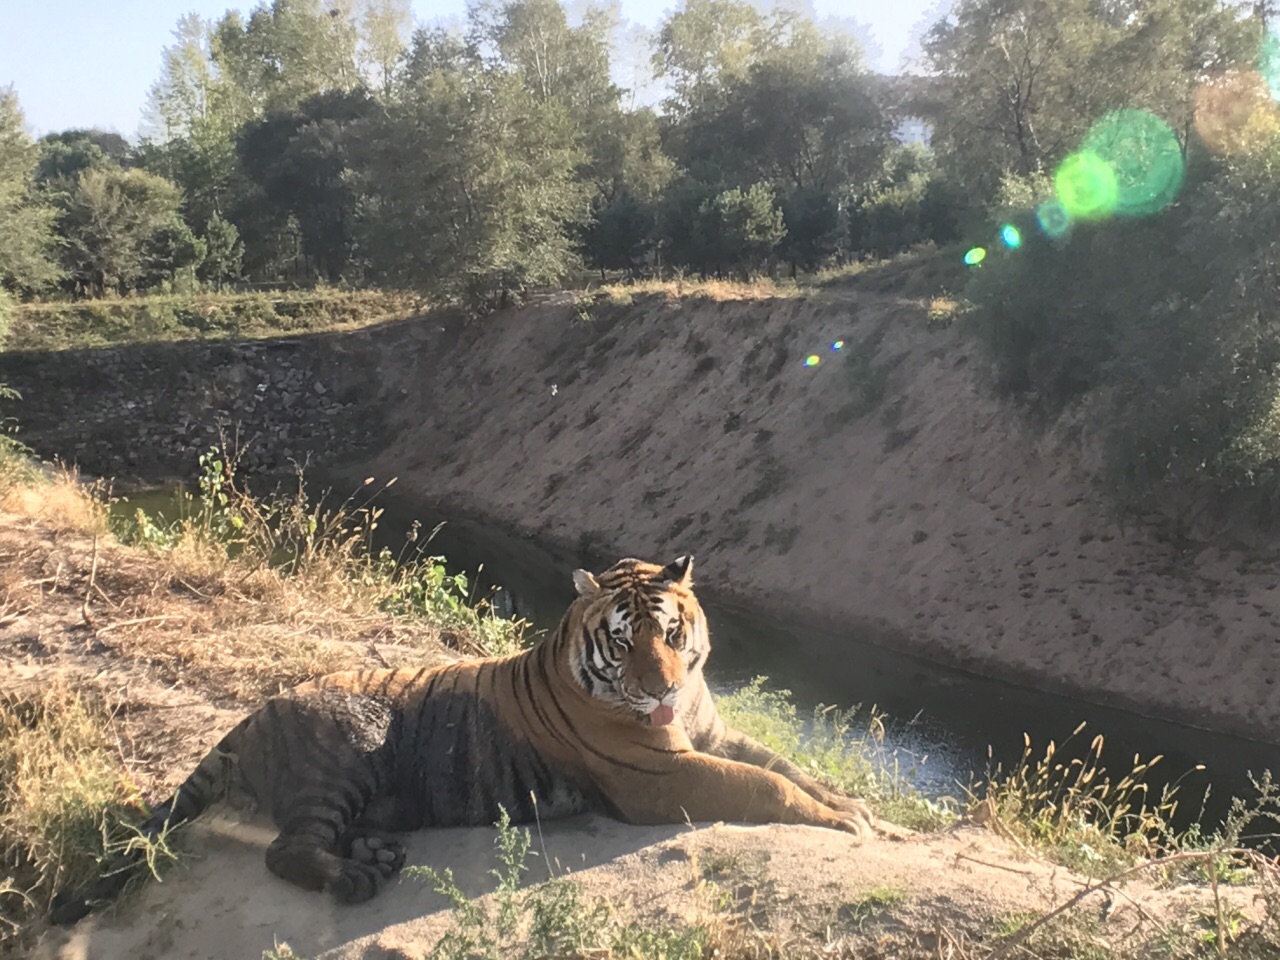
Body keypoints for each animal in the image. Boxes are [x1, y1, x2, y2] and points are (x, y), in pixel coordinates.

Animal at [49, 555, 870, 926]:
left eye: (672, 634)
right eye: (624, 642)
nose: (663, 689)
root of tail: (252, 712)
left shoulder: (711, 731)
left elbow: (784, 765)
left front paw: (853, 807)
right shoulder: (661, 776)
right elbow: (763, 783)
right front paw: (843, 821)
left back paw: (376, 854)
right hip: (339, 758)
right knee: (286, 850)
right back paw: (357, 878)